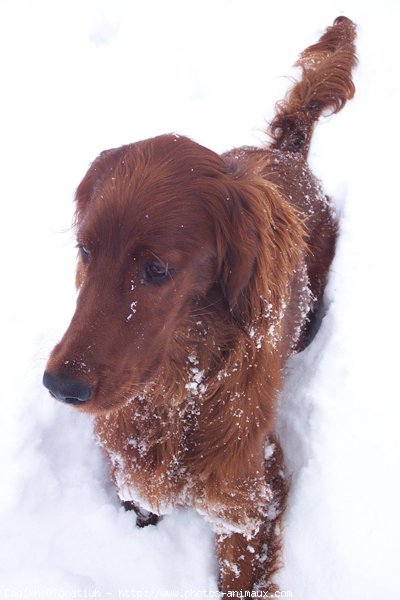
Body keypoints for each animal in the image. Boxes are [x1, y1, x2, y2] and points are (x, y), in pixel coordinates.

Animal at [43, 17, 356, 592]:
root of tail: (288, 151)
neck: (177, 386)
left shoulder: (249, 493)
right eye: (85, 250)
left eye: (156, 269)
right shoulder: (130, 462)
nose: (60, 387)